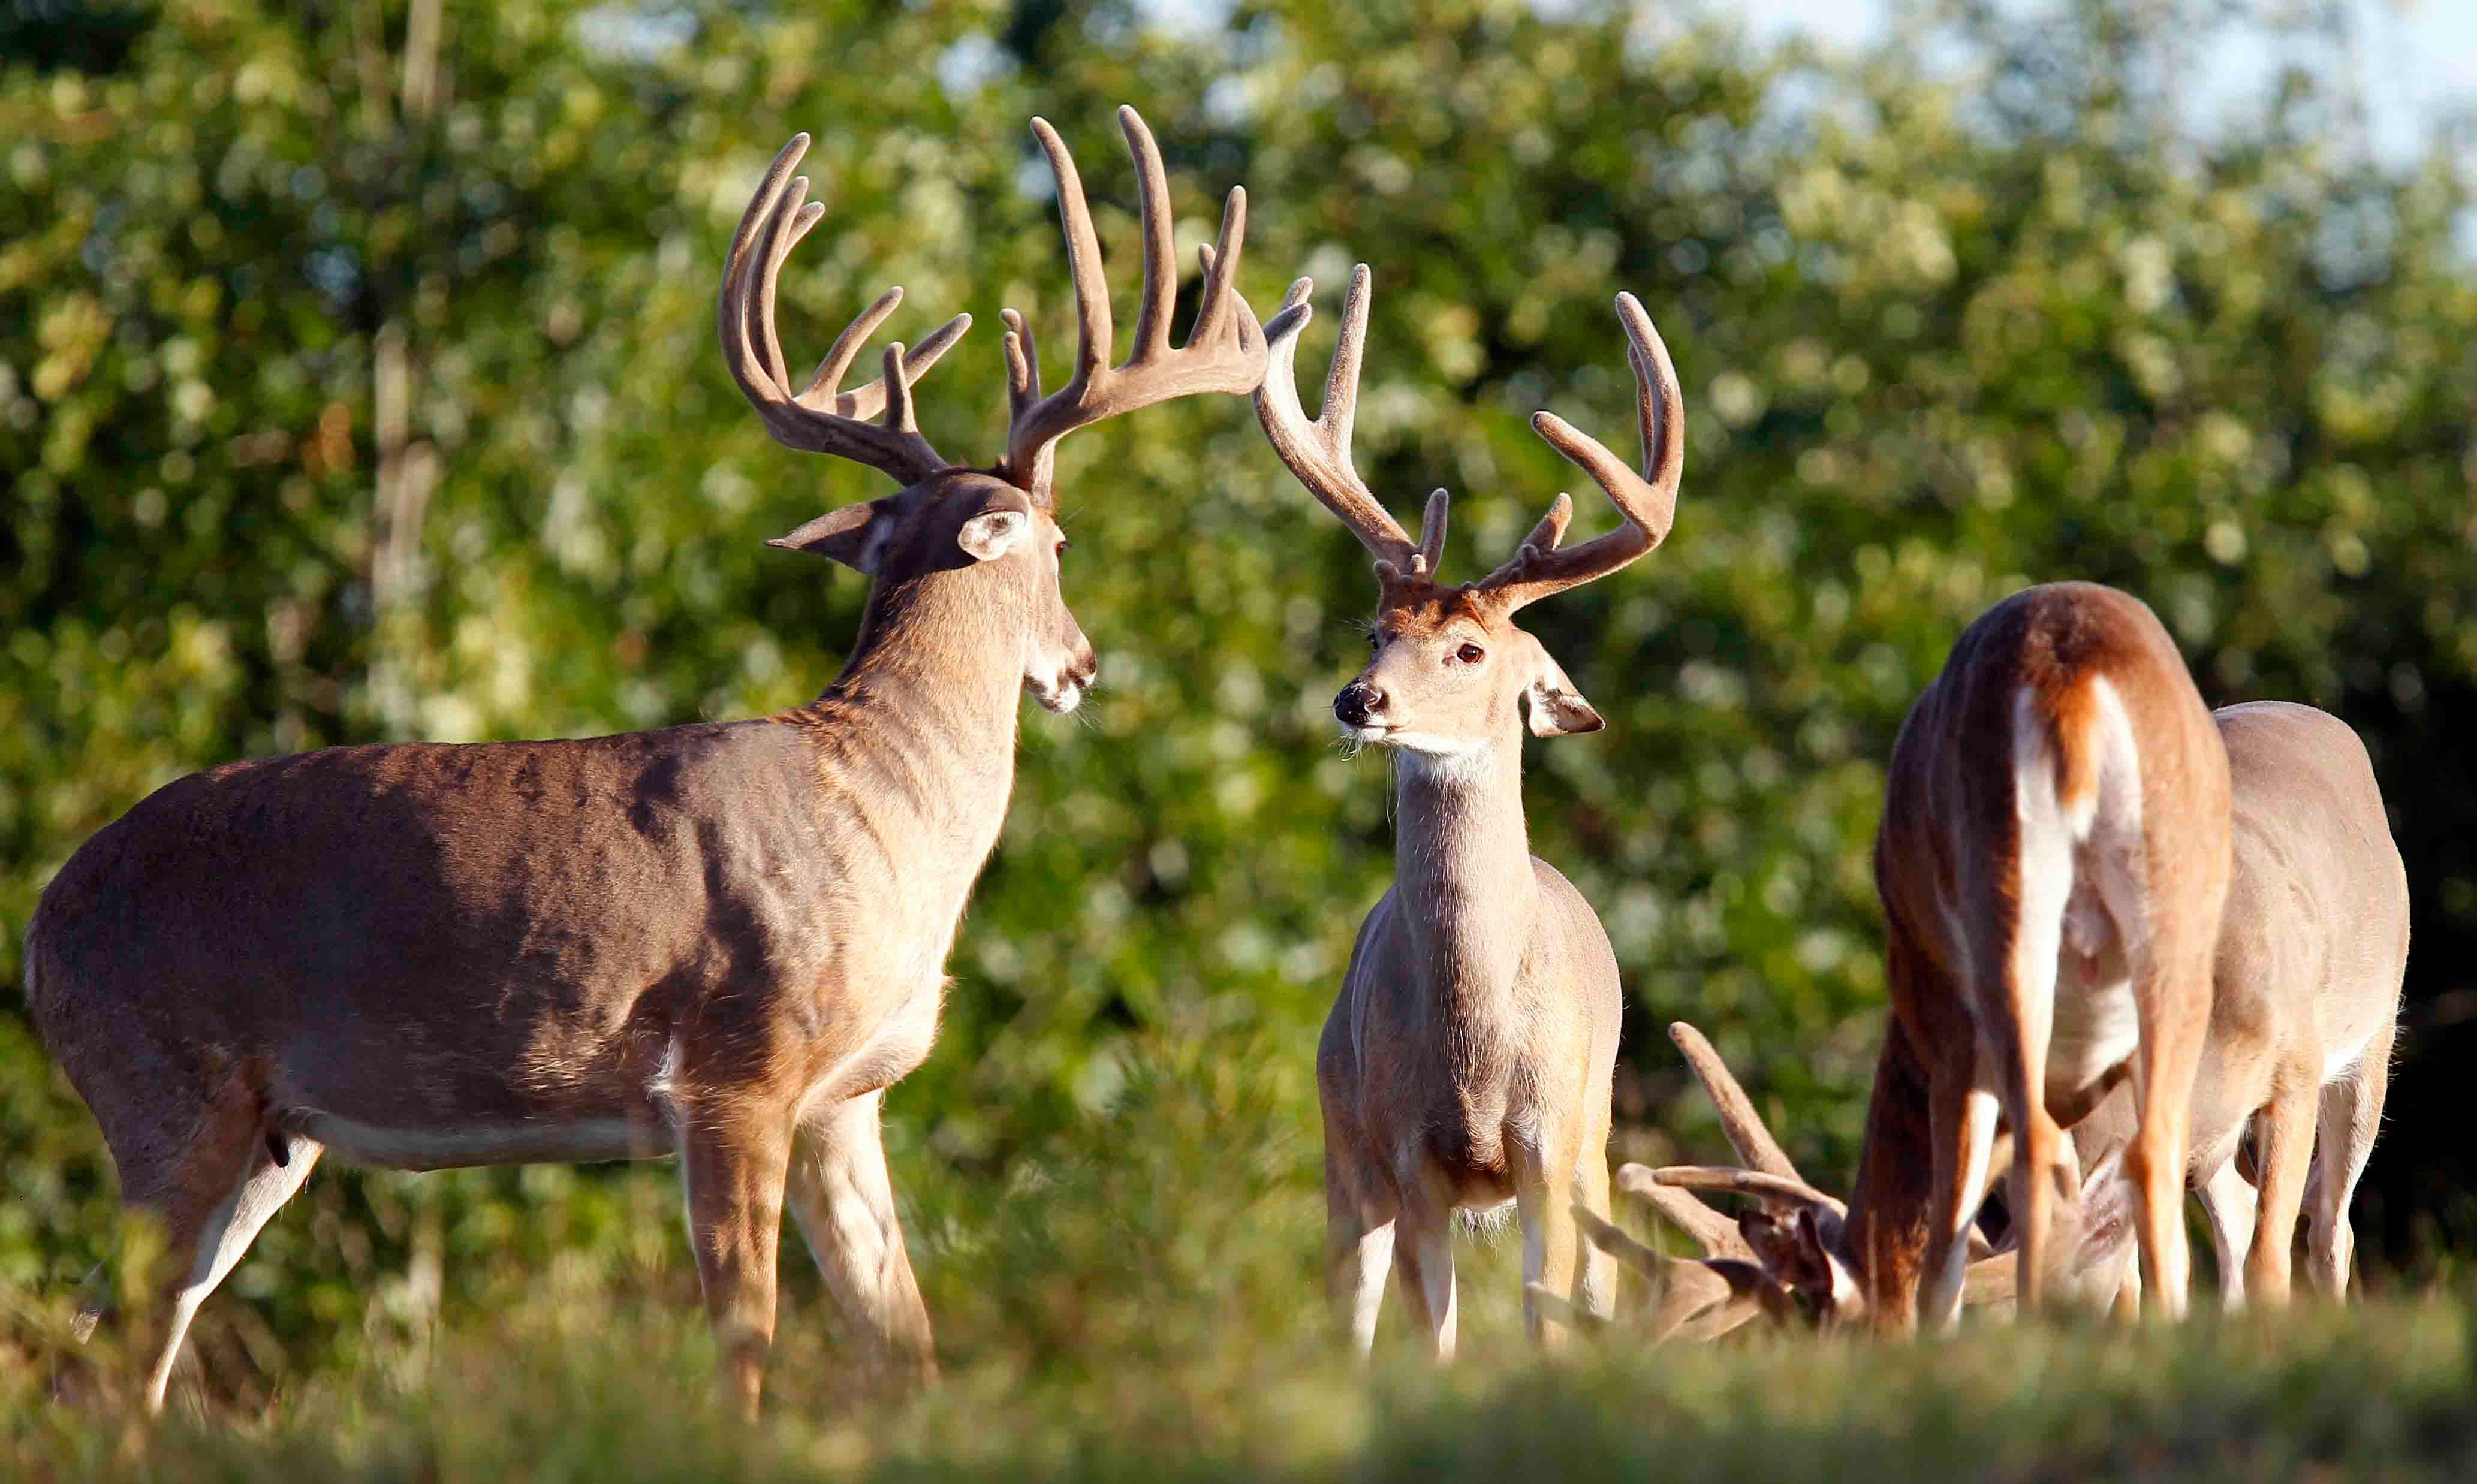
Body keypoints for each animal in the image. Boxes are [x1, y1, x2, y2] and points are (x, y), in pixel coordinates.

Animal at [14, 107, 1258, 1417]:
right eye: (1060, 544)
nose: (1082, 663)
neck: (882, 799)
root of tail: (44, 926)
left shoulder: (846, 1101)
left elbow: (901, 1336)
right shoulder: (735, 1070)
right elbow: (746, 1343)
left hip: (267, 1131)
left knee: (107, 1350)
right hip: (165, 1085)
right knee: (113, 1357)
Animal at [1258, 264, 1684, 1358]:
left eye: (1469, 650)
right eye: (1377, 630)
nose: (1358, 700)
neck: (1477, 1049)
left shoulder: (1549, 1149)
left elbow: (1546, 1320)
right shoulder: (1408, 1157)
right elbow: (1430, 1339)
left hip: (1595, 1145)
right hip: (1343, 1146)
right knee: (1349, 1313)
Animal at [1595, 698, 2407, 1338]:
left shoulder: (2294, 1061)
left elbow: (2276, 1254)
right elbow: (2144, 1275)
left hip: (2372, 1039)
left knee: (2330, 1225)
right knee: (2232, 1216)